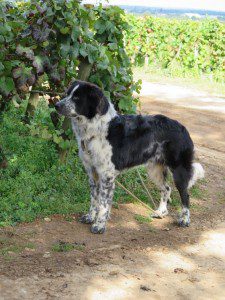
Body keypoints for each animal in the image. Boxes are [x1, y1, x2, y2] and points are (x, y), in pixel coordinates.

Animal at [55, 80, 205, 234]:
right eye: (67, 94)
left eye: (77, 98)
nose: (57, 105)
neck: (96, 130)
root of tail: (183, 128)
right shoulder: (93, 173)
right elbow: (94, 199)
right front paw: (90, 217)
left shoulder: (107, 175)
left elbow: (103, 204)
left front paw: (99, 225)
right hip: (154, 170)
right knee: (166, 189)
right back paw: (160, 212)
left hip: (179, 170)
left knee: (185, 196)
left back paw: (185, 220)